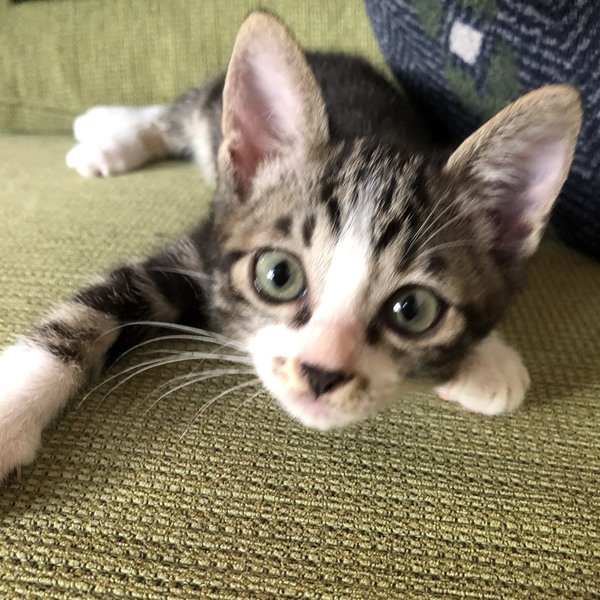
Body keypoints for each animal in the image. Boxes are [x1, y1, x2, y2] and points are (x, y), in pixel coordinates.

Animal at [0, 11, 582, 482]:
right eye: (278, 275)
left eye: (413, 310)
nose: (321, 373)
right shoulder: (202, 248)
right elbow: (86, 316)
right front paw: (11, 412)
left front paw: (486, 360)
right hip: (211, 104)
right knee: (175, 112)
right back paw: (106, 133)